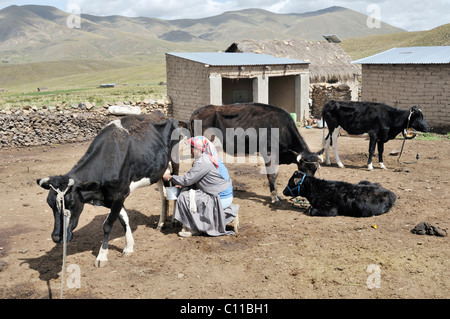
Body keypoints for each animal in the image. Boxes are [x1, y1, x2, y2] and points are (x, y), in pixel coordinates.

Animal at [37, 112, 180, 268]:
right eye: (50, 204)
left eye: (71, 203)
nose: (56, 237)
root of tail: (162, 115)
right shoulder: (111, 197)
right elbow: (124, 219)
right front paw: (129, 247)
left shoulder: (120, 194)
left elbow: (107, 225)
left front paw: (102, 256)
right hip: (158, 171)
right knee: (164, 195)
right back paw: (161, 223)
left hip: (175, 160)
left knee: (176, 188)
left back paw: (173, 221)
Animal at [190, 104, 324, 204]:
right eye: (304, 168)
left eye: (315, 169)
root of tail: (200, 109)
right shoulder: (269, 153)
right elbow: (272, 175)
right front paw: (274, 198)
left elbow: (275, 174)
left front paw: (277, 196)